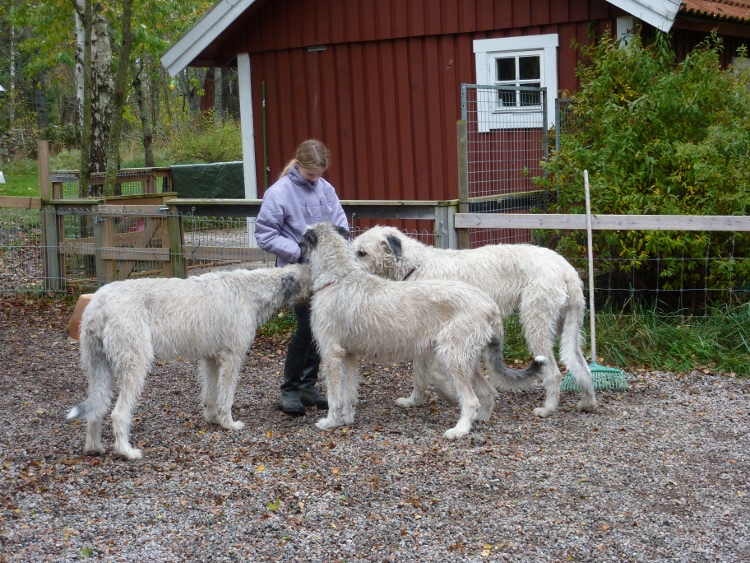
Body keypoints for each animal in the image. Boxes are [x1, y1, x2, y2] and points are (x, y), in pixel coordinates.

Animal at [66, 264, 310, 458]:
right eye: (313, 273)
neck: (251, 291)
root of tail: (98, 303)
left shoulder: (211, 358)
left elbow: (211, 393)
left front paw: (213, 418)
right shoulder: (232, 356)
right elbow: (226, 396)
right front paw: (229, 423)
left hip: (98, 367)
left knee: (96, 407)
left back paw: (94, 447)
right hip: (134, 364)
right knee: (118, 413)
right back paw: (126, 451)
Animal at [354, 226, 600, 418]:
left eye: (362, 253)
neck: (415, 265)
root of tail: (566, 269)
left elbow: (433, 373)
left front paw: (449, 394)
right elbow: (419, 373)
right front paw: (413, 400)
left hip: (536, 320)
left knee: (554, 371)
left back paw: (547, 408)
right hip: (567, 322)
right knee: (579, 362)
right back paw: (587, 402)